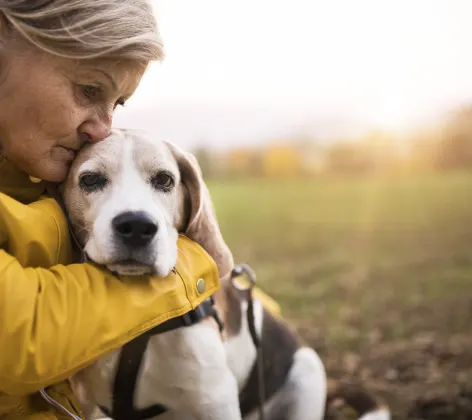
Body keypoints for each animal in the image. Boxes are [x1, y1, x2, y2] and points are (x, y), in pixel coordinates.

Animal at [62, 128, 390, 420]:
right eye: (90, 179)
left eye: (165, 180)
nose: (136, 225)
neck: (139, 316)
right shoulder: (85, 401)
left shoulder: (214, 399)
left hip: (305, 372)